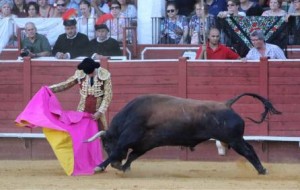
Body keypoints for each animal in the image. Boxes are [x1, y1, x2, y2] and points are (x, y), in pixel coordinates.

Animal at [86, 93, 282, 174]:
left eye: (105, 144)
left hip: (234, 140)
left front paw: (100, 167)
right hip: (236, 139)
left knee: (248, 151)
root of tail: (227, 104)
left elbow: (118, 152)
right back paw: (262, 169)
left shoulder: (128, 138)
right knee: (250, 149)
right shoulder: (146, 144)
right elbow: (133, 155)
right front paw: (124, 168)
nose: (116, 165)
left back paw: (262, 170)